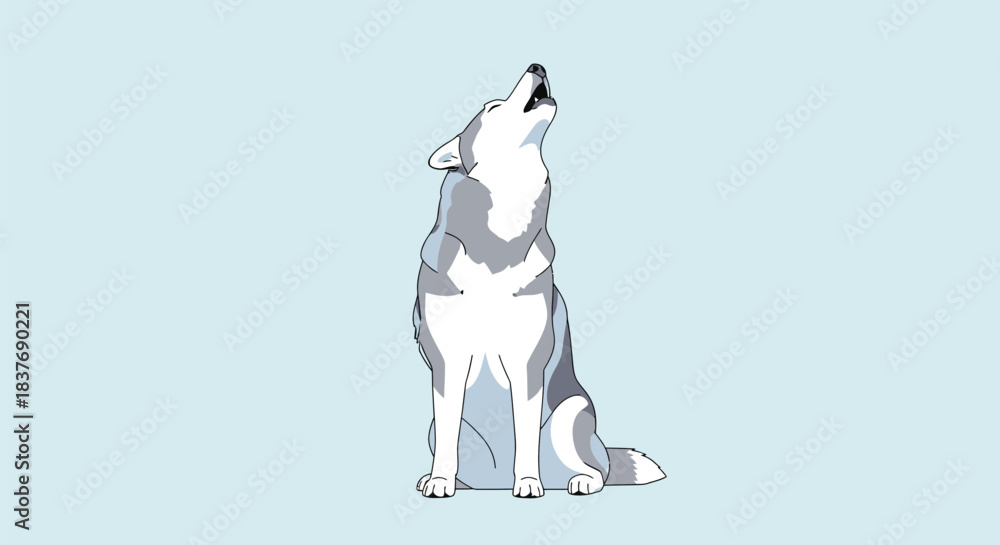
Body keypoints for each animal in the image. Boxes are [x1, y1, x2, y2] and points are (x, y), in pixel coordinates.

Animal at [413, 64, 664, 498]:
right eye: (492, 107)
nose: (538, 67)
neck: (499, 239)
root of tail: (493, 484)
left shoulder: (527, 362)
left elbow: (525, 433)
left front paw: (529, 482)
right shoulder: (447, 363)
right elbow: (447, 434)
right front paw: (440, 480)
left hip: (570, 413)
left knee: (596, 469)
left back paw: (580, 479)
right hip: (436, 428)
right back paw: (452, 480)